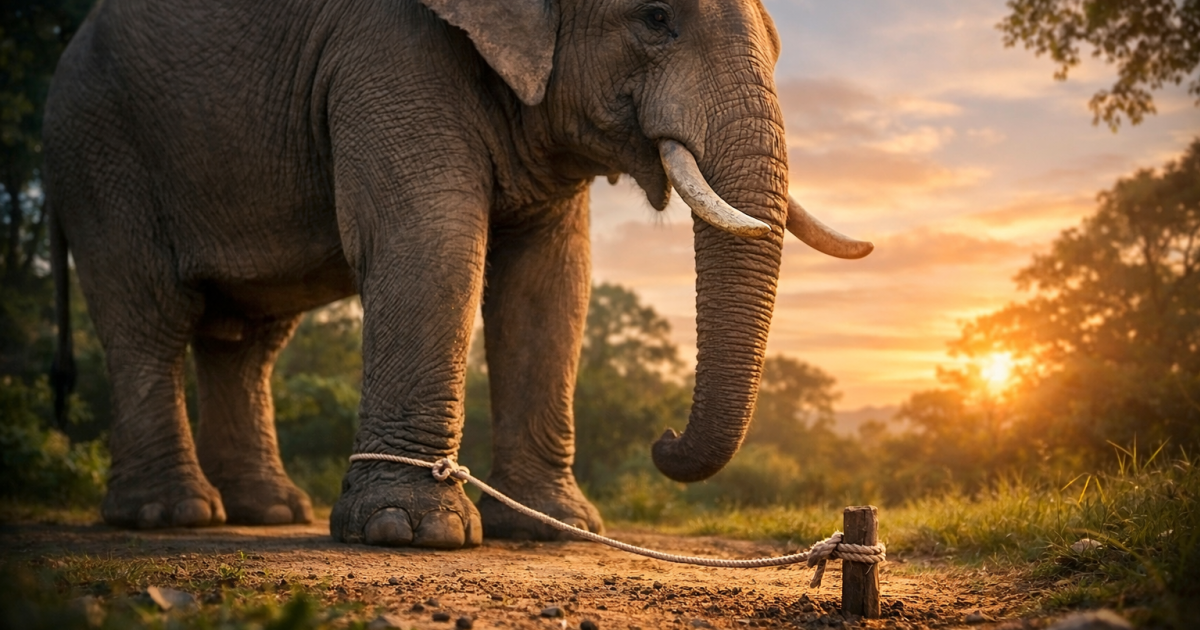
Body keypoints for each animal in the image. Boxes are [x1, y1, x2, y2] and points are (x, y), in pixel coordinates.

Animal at [43, 0, 871, 548]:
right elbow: (431, 237)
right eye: (655, 18)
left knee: (247, 340)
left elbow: (549, 280)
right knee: (150, 316)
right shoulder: (386, 51)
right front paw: (409, 533)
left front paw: (556, 529)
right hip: (98, 143)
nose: (663, 439)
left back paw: (270, 512)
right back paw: (171, 516)